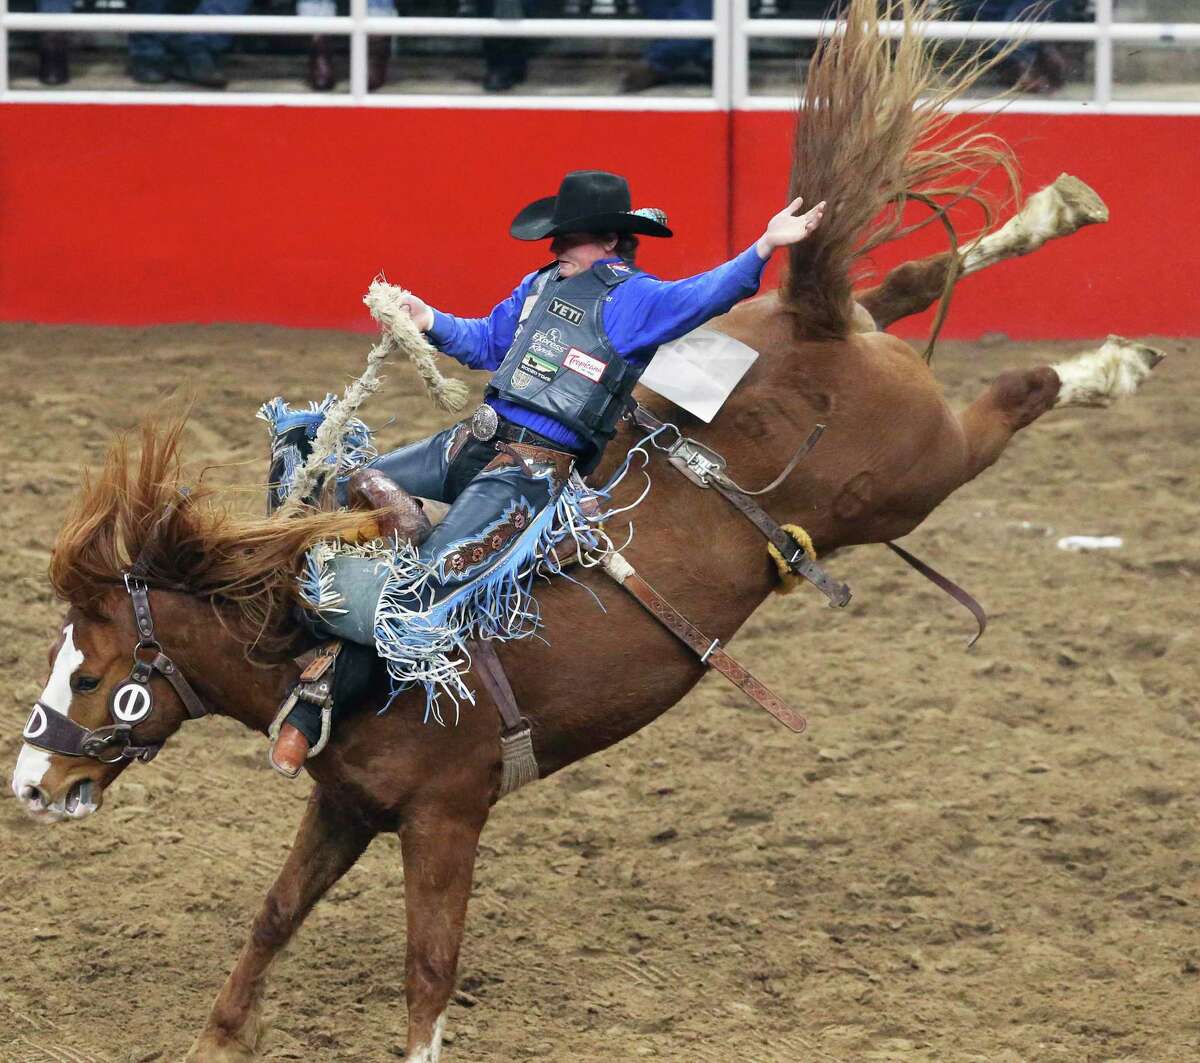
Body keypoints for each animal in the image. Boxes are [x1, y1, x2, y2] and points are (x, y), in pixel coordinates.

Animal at [2, 4, 1161, 1060]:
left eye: (96, 674)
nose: (31, 785)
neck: (333, 644)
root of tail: (812, 327)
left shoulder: (446, 815)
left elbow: (429, 971)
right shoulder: (343, 805)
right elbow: (275, 915)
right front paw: (220, 1037)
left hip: (916, 473)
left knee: (1009, 394)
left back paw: (1112, 356)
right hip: (855, 361)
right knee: (904, 282)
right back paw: (1053, 212)